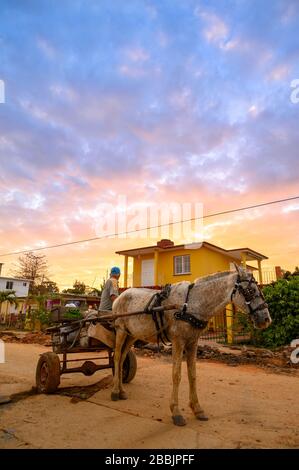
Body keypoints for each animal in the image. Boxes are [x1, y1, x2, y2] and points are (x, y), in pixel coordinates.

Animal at [111, 264, 274, 426]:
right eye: (250, 291)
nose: (266, 319)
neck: (191, 304)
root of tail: (119, 297)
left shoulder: (193, 342)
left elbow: (193, 374)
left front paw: (197, 408)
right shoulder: (178, 341)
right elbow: (176, 375)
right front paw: (176, 411)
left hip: (132, 335)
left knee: (123, 358)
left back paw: (121, 390)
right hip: (120, 331)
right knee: (117, 357)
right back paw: (115, 391)